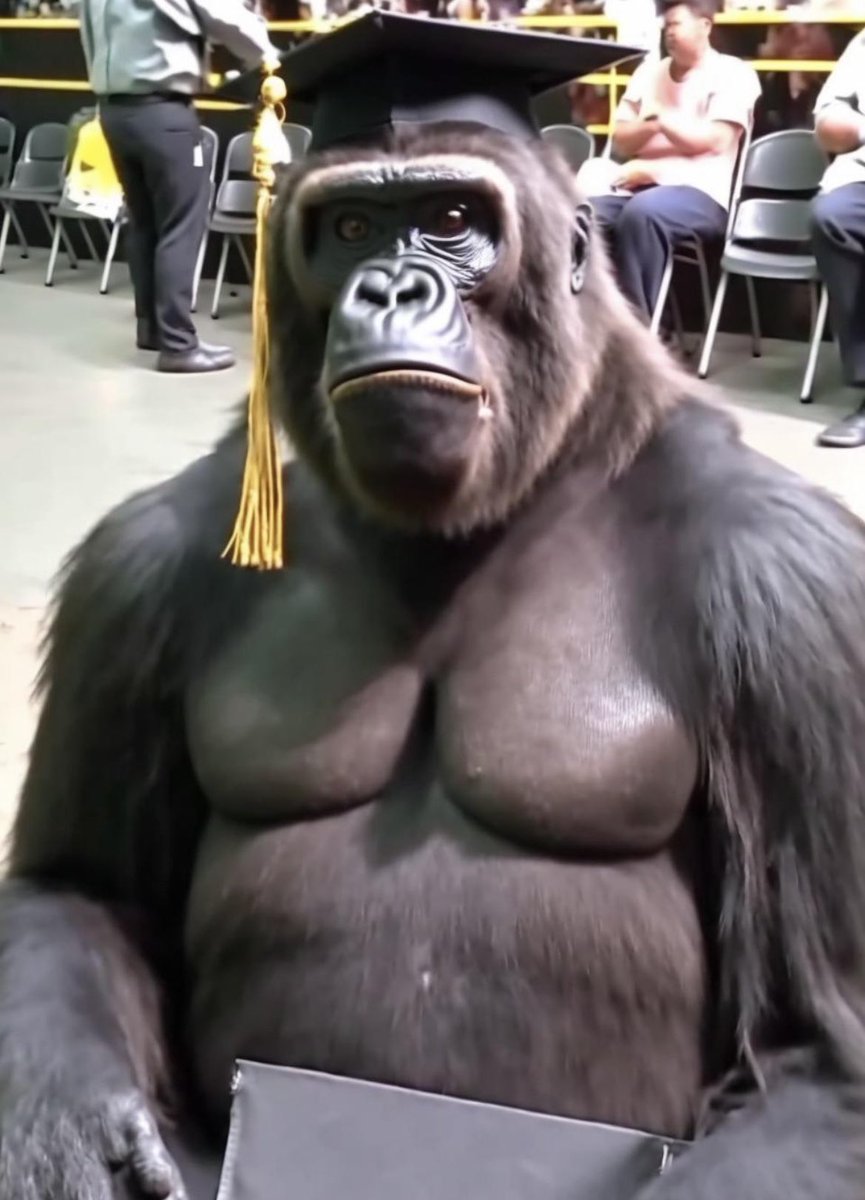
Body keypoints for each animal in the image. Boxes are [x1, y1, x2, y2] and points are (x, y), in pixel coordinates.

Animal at [3, 57, 865, 1200]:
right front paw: (67, 1130)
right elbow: (76, 891)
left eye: (453, 220)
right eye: (351, 227)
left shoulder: (797, 595)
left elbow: (822, 1051)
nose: (391, 290)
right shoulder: (137, 569)